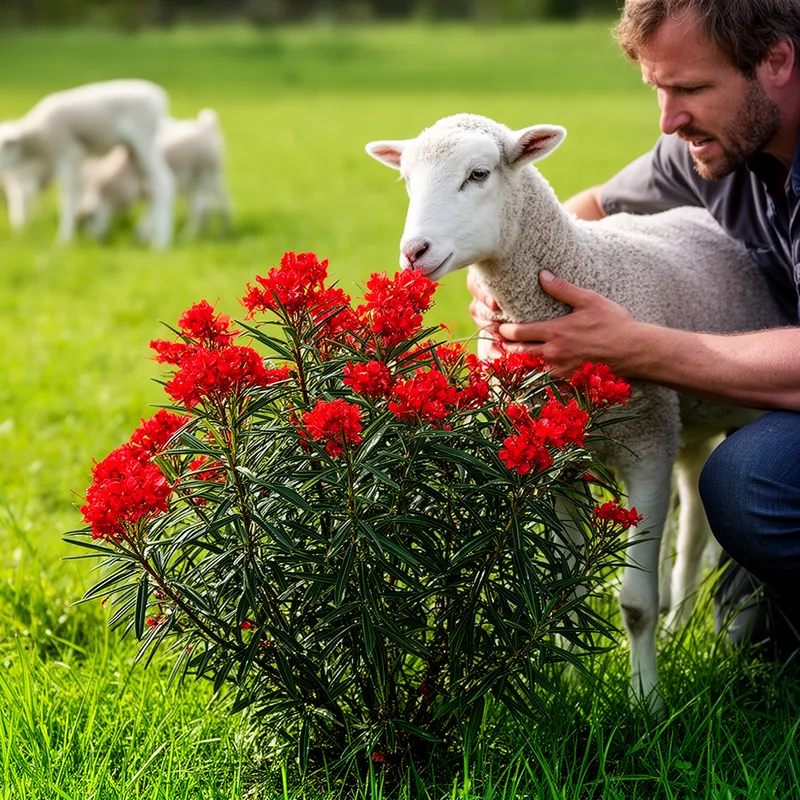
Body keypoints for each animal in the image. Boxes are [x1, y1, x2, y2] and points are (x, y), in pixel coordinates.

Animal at [0, 79, 174, 248]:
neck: (35, 139)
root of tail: (159, 97)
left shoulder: (69, 154)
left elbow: (68, 196)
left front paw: (64, 240)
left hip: (144, 140)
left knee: (163, 182)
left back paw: (161, 242)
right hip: (133, 152)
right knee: (153, 187)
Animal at [78, 109, 232, 242]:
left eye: (90, 219)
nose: (92, 241)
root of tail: (206, 127)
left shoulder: (154, 192)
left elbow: (149, 217)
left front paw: (140, 238)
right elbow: (152, 215)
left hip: (204, 177)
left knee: (202, 207)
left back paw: (189, 235)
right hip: (205, 180)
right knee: (221, 202)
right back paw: (222, 230)